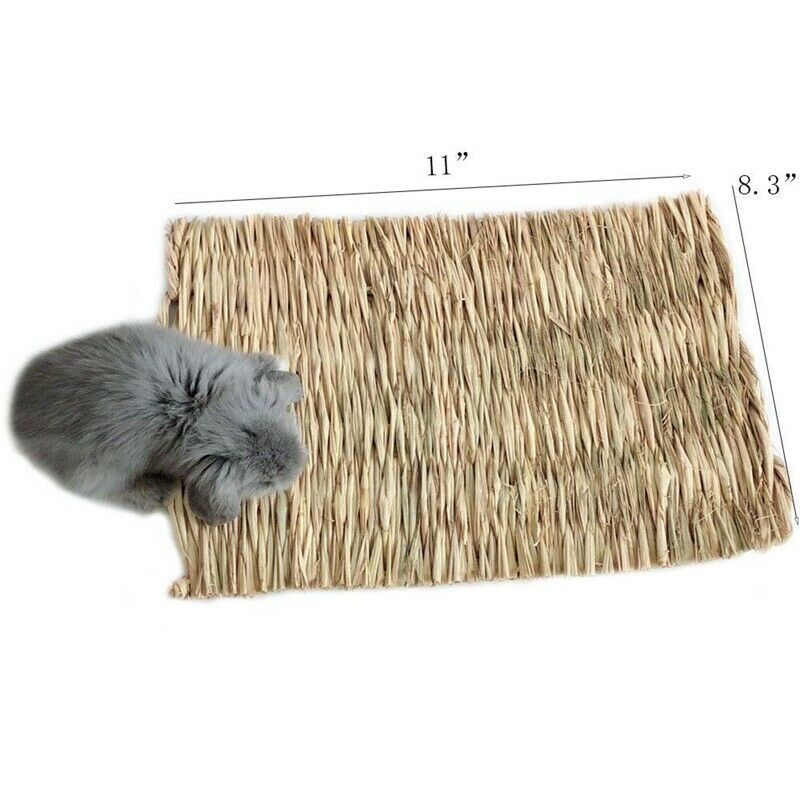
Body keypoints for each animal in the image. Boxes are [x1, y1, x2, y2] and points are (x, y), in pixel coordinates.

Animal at [11, 323, 308, 526]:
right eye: (268, 482)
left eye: (295, 438)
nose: (297, 470)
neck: (203, 410)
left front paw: (275, 362)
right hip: (95, 473)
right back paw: (156, 491)